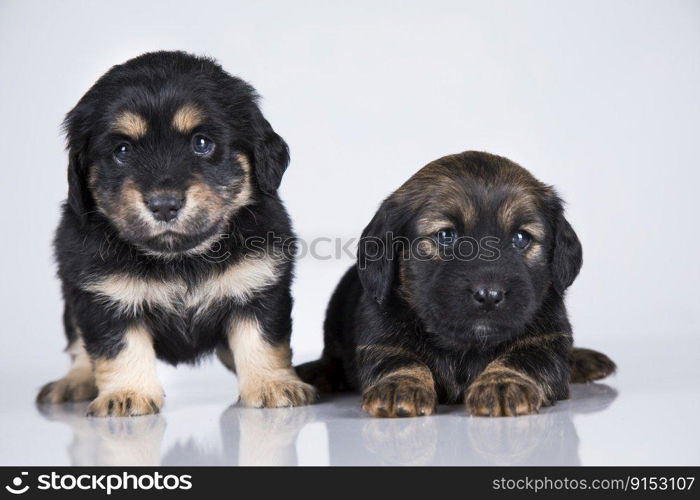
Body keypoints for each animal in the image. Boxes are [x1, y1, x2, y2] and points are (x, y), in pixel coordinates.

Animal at [38, 51, 318, 418]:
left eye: (202, 143)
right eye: (122, 150)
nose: (164, 205)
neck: (181, 258)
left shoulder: (259, 287)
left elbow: (263, 341)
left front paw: (273, 385)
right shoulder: (102, 298)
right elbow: (117, 348)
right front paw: (126, 394)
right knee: (78, 347)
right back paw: (75, 381)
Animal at [298, 150, 616, 416]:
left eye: (521, 238)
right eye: (445, 236)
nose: (489, 295)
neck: (465, 345)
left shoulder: (548, 338)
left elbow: (525, 358)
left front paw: (502, 383)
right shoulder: (379, 337)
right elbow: (400, 359)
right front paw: (400, 385)